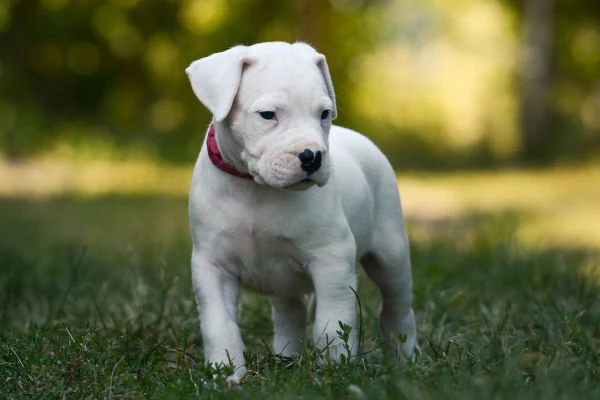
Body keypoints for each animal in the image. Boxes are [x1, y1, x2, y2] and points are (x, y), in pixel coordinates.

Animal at [186, 42, 418, 382]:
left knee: (397, 306)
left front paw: (335, 369)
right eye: (268, 115)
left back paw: (405, 356)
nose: (312, 156)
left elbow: (331, 324)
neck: (256, 189)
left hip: (390, 254)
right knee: (289, 313)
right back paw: (286, 357)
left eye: (323, 114)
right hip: (284, 281)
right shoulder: (212, 266)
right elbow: (219, 324)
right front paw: (224, 372)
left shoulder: (331, 260)